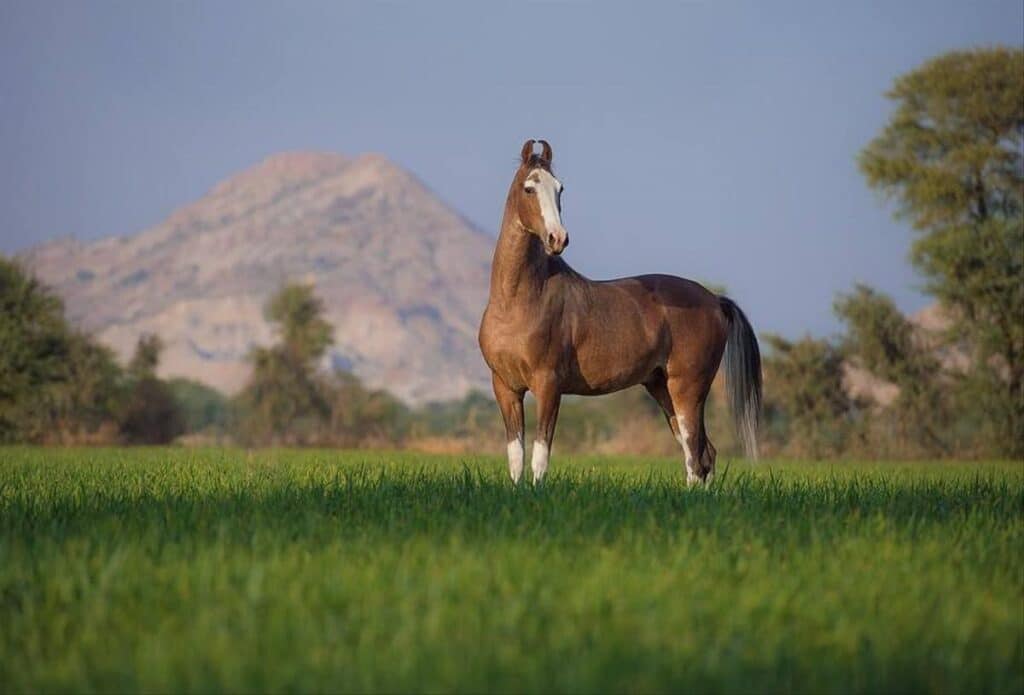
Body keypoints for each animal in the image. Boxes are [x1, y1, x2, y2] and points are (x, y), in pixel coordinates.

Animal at [478, 139, 762, 486]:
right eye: (529, 188)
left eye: (560, 188)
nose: (558, 239)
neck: (519, 302)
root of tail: (715, 300)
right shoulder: (505, 388)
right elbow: (516, 456)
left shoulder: (548, 386)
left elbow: (540, 454)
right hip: (662, 389)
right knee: (703, 454)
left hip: (688, 389)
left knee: (696, 457)